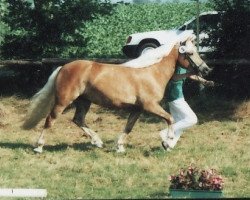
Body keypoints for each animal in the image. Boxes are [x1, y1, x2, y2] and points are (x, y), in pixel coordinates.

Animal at [23, 31, 211, 153]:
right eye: (191, 53)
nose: (206, 69)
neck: (152, 72)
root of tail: (63, 67)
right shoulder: (150, 106)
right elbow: (170, 118)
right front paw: (168, 141)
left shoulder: (137, 109)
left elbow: (128, 127)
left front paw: (119, 147)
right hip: (63, 101)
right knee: (50, 120)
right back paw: (39, 146)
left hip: (84, 101)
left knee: (78, 119)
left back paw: (97, 142)